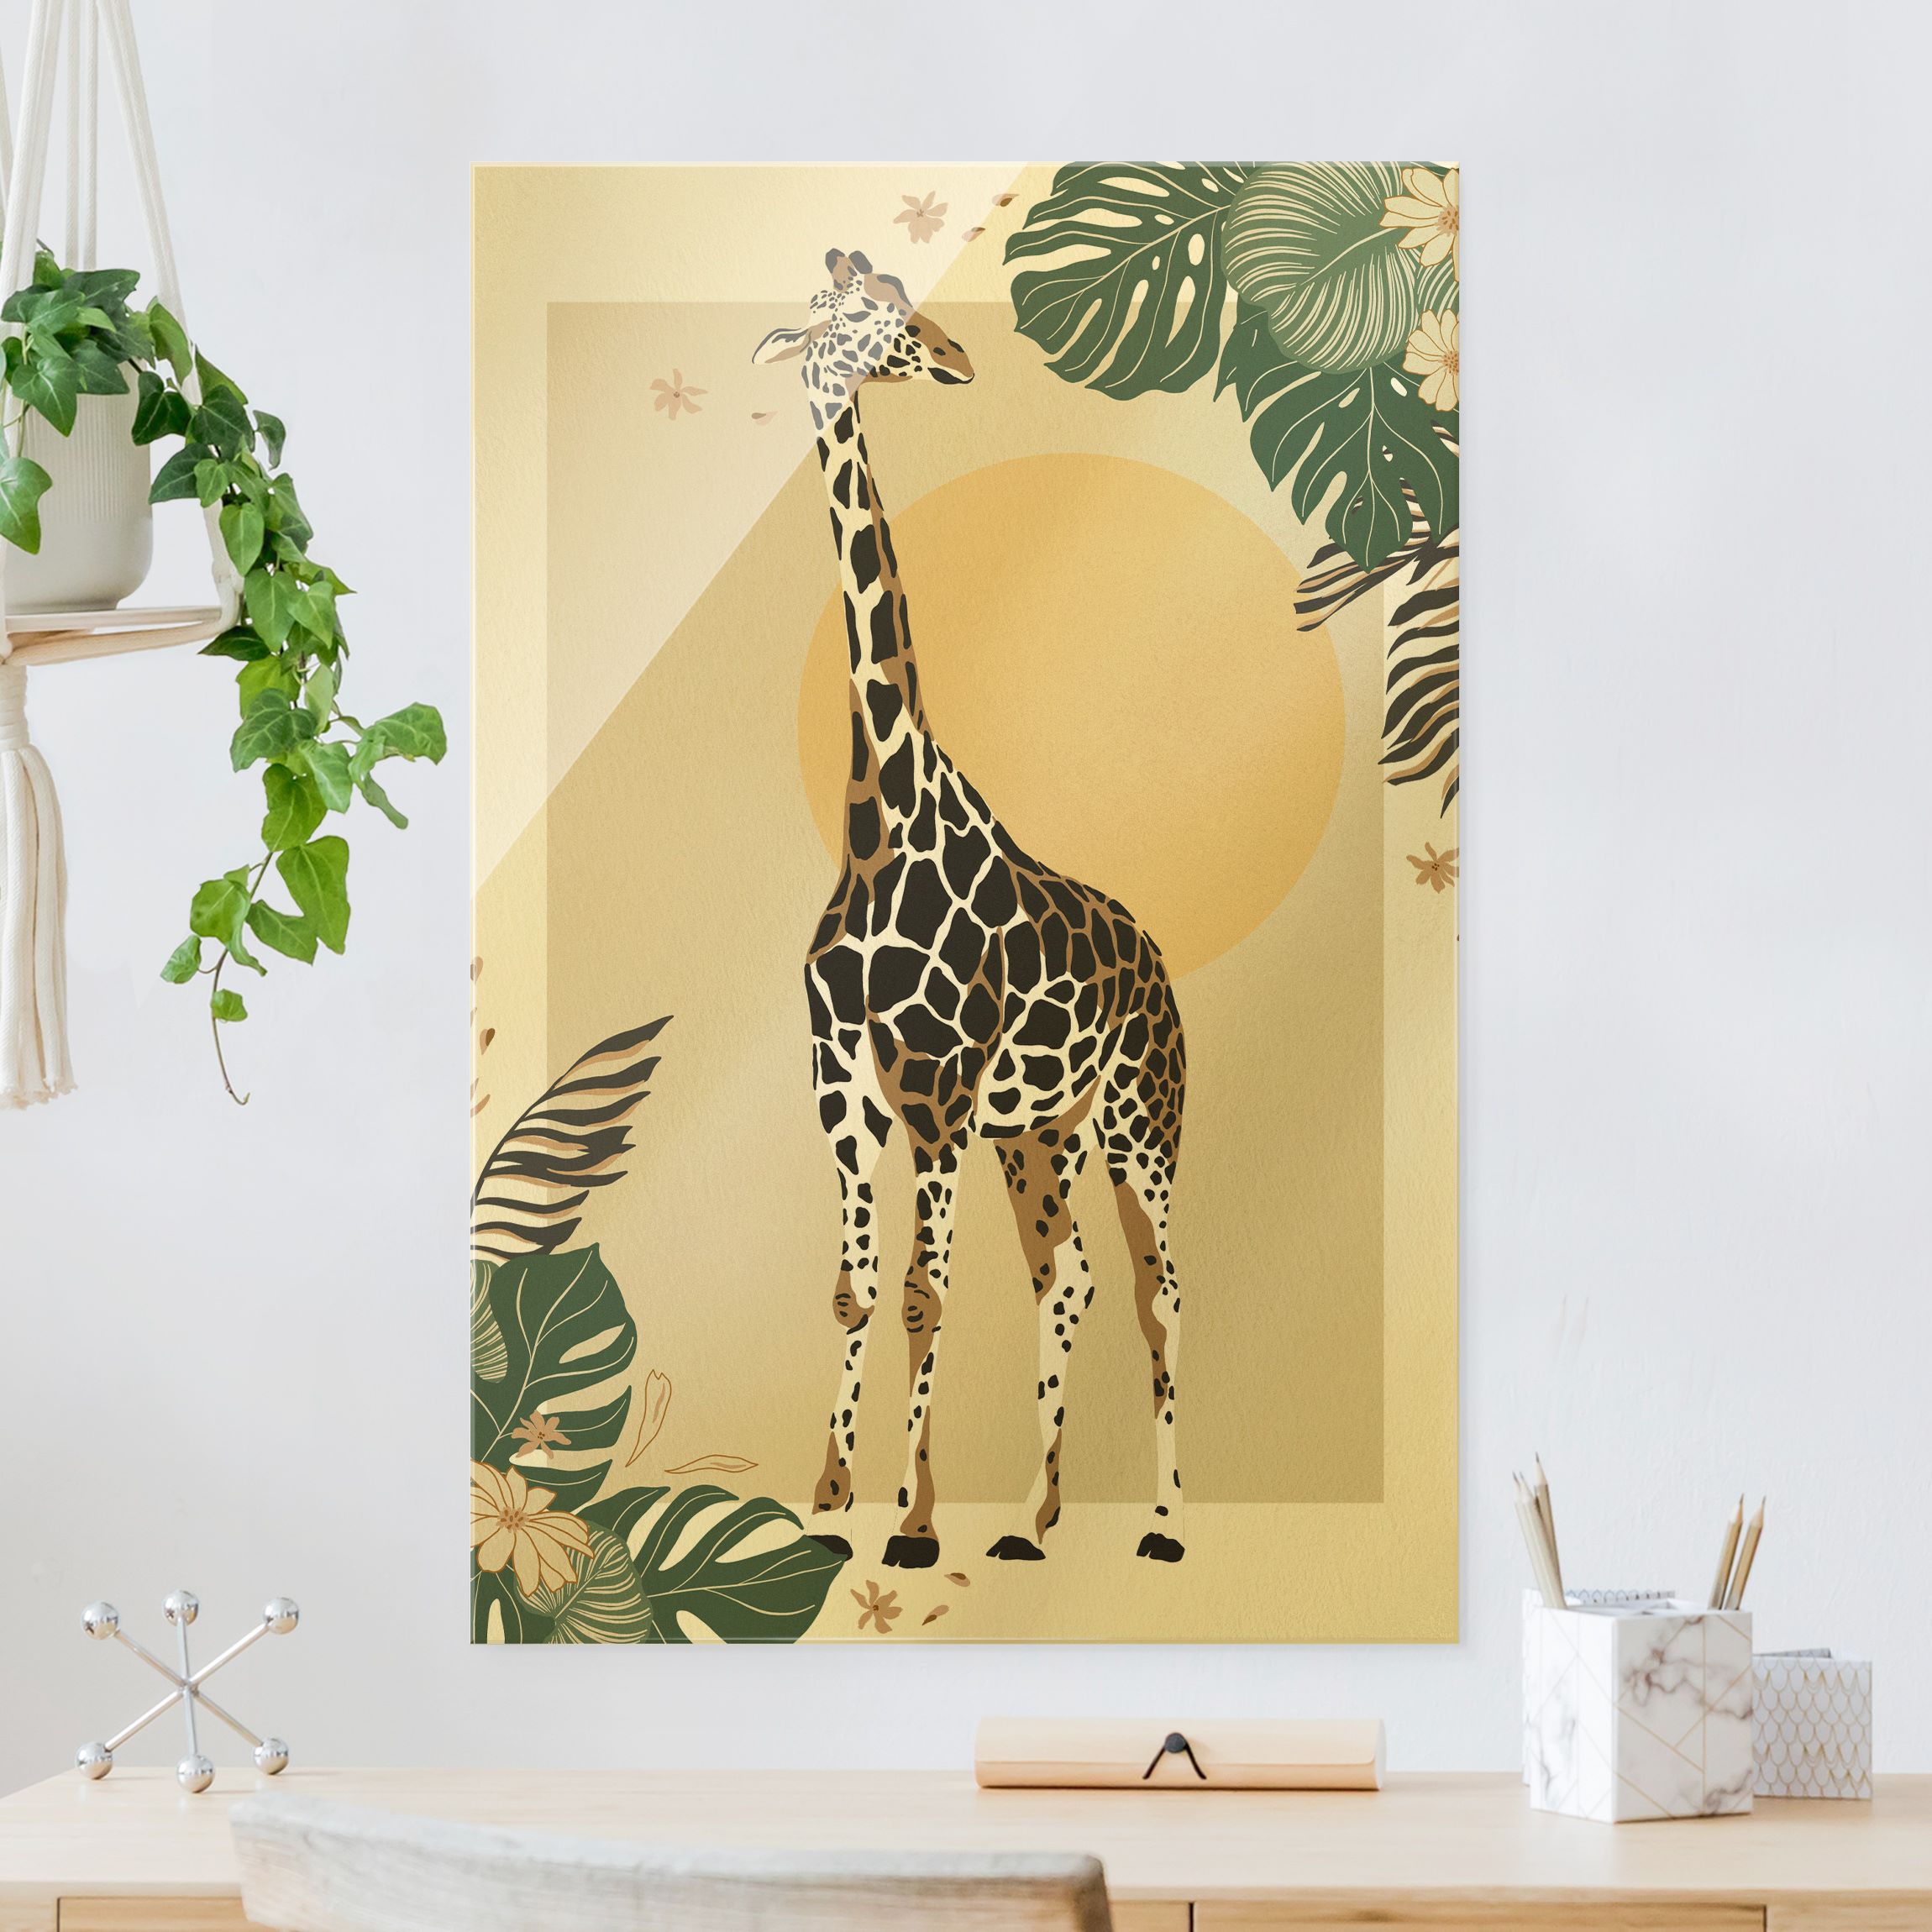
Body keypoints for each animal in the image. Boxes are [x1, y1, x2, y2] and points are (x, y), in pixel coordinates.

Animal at [753, 250, 1187, 1572]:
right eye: (855, 313)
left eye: (903, 303)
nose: (951, 355)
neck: (876, 818)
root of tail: (1161, 962)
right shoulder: (845, 1090)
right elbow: (855, 1288)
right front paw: (830, 1496)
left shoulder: (934, 1091)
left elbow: (922, 1293)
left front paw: (911, 1520)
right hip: (1040, 1133)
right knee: (1072, 1277)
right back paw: (1037, 1520)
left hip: (1140, 1119)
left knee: (1160, 1288)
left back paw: (1162, 1522)